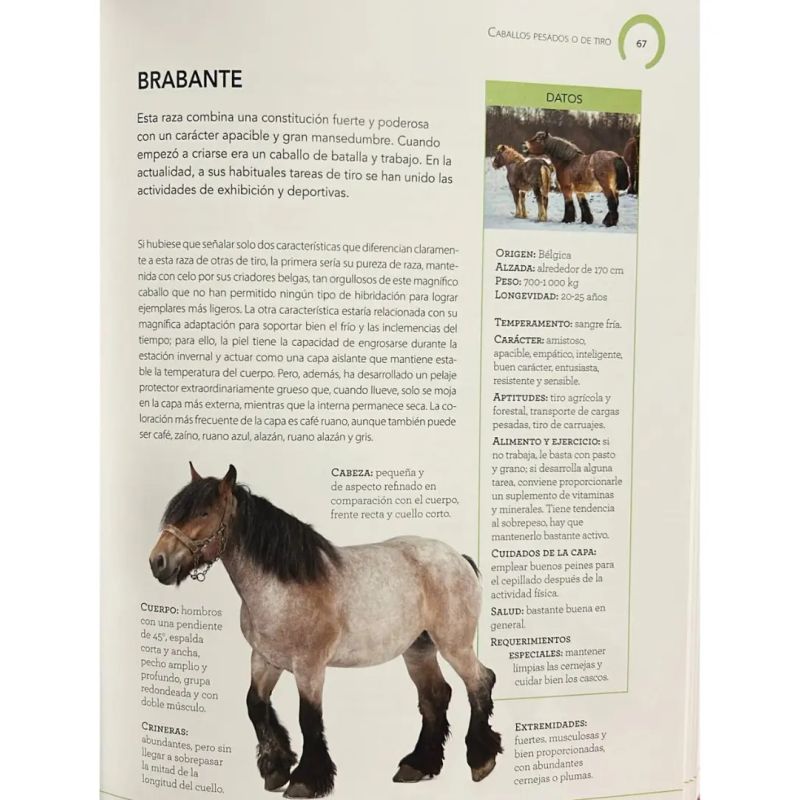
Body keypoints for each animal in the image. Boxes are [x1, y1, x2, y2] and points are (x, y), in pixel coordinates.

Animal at [148, 464, 502, 798]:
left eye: (204, 513)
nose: (158, 562)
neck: (284, 584)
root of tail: (459, 558)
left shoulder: (309, 667)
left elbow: (309, 719)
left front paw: (305, 780)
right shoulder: (264, 659)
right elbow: (255, 705)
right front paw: (276, 768)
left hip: (455, 645)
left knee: (480, 683)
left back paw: (482, 761)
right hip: (418, 649)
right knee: (435, 697)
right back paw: (417, 765)